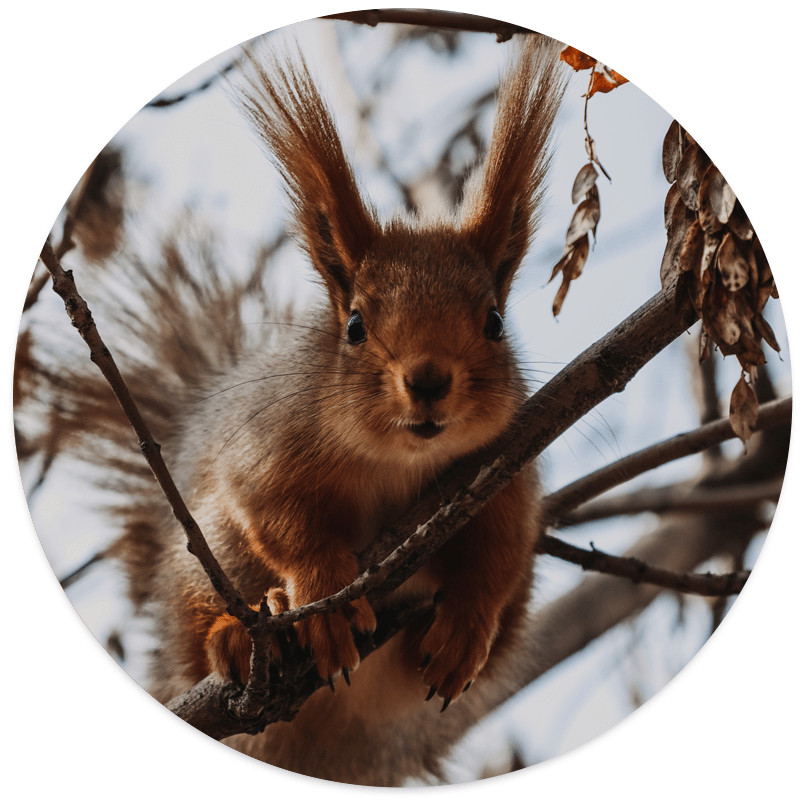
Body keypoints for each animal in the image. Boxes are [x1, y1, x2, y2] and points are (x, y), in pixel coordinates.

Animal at [26, 32, 566, 786]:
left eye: (493, 322)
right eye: (356, 325)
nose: (429, 380)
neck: (398, 460)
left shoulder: (507, 469)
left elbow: (498, 553)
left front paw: (465, 620)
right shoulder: (267, 449)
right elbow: (283, 519)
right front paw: (319, 593)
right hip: (208, 554)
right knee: (204, 622)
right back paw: (244, 631)